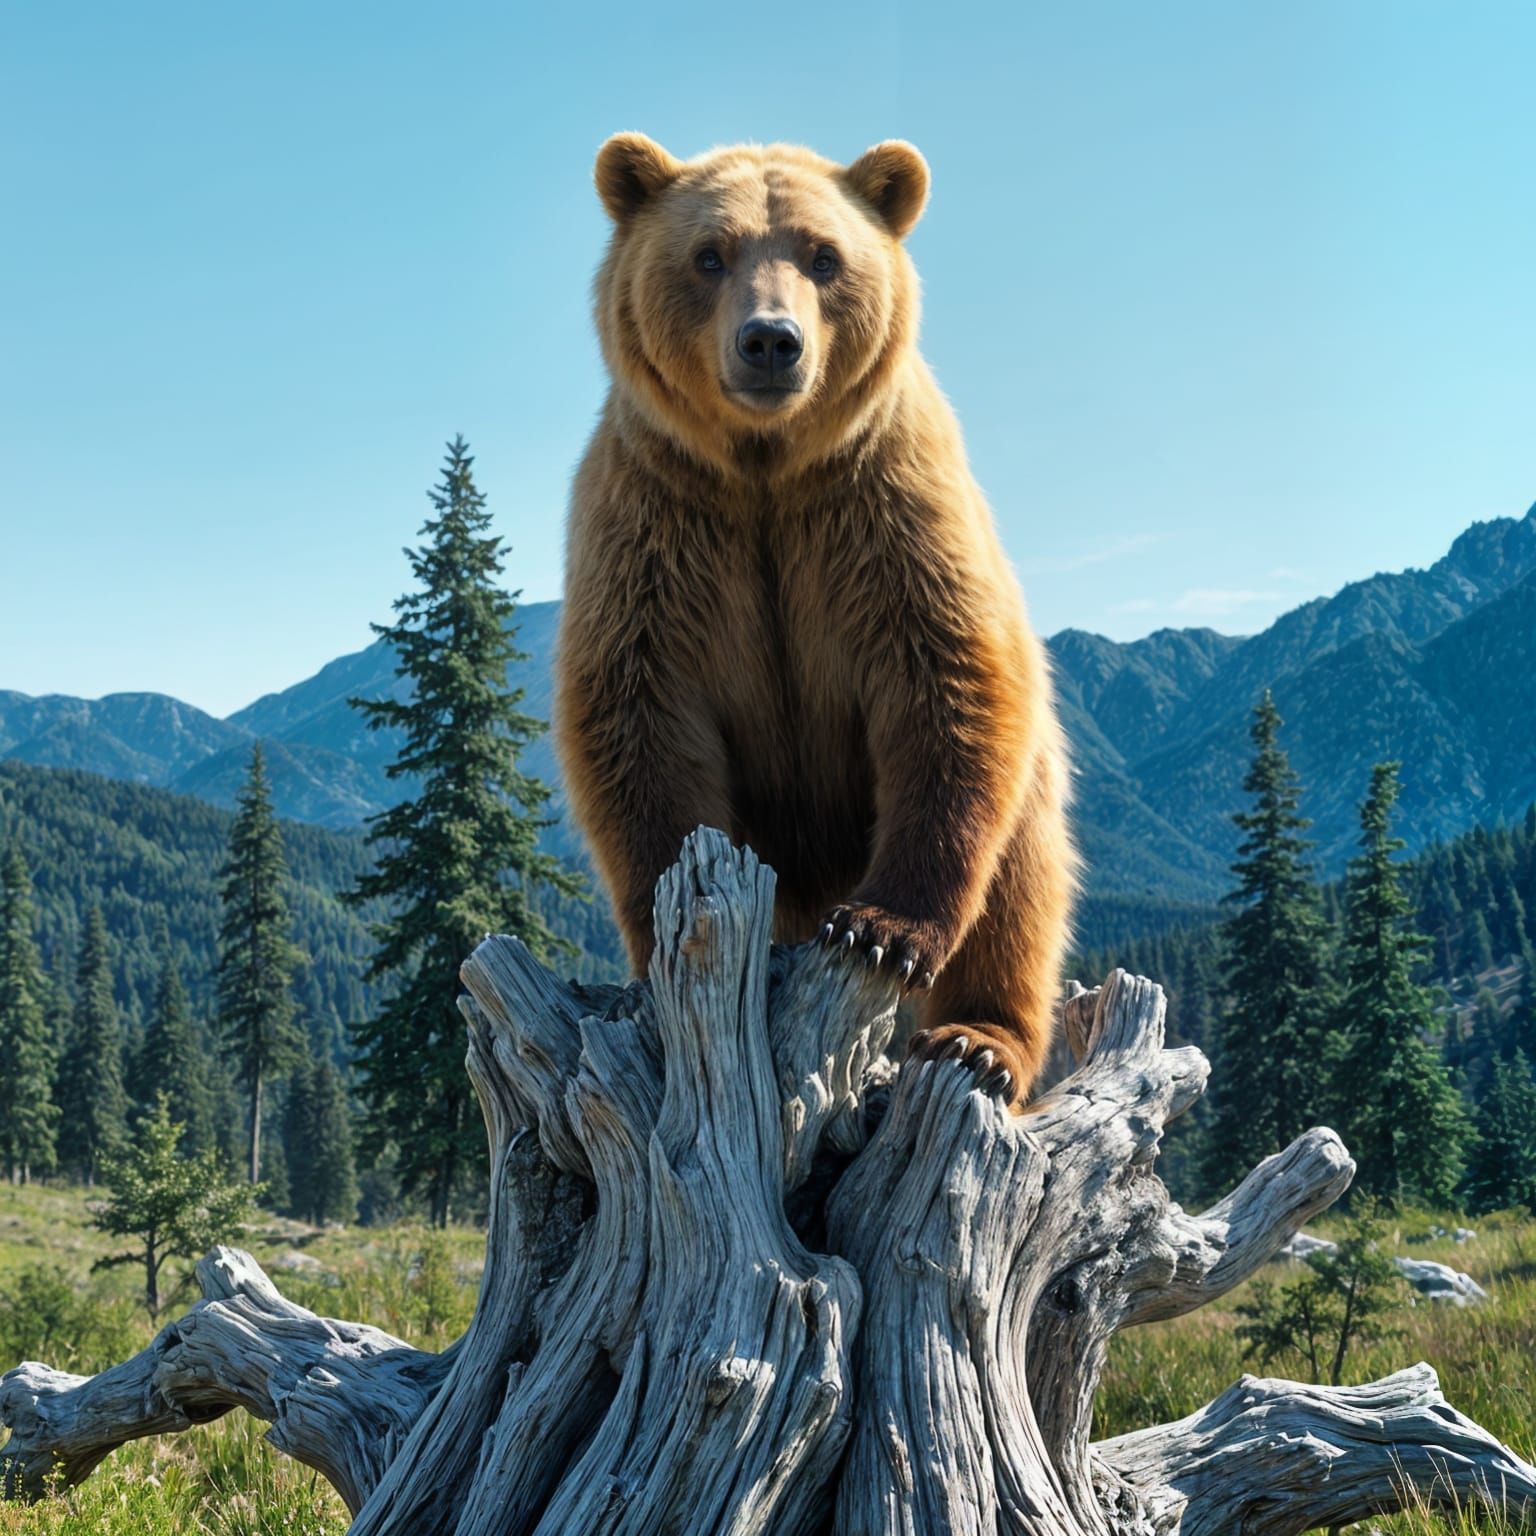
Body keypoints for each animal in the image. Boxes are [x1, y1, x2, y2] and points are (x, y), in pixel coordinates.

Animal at [555, 134, 1077, 1106]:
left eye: (824, 255)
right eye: (709, 253)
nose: (770, 340)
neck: (767, 470)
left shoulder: (886, 512)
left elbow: (947, 683)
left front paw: (883, 929)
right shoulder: (655, 532)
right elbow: (638, 723)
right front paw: (660, 950)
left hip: (1029, 791)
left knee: (1022, 890)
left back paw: (980, 1040)